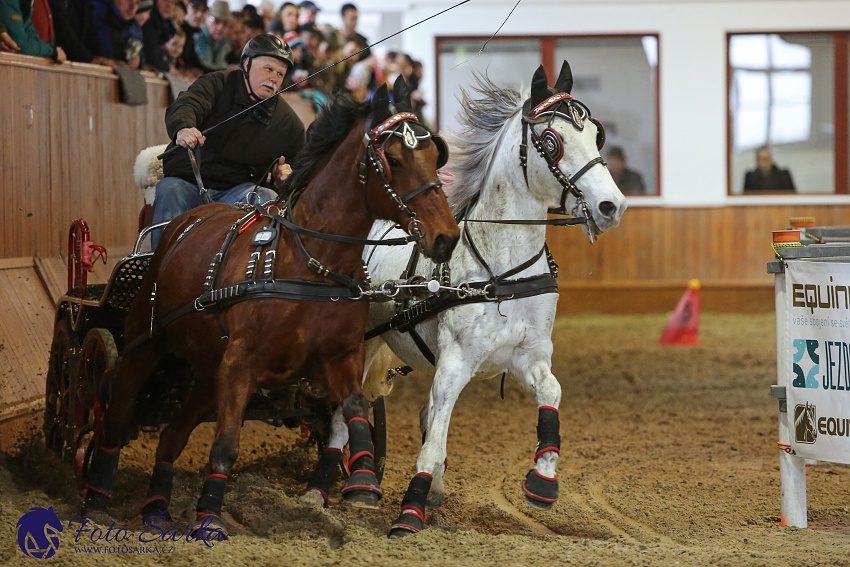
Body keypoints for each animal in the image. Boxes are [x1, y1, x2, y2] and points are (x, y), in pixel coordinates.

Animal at [83, 79, 460, 532]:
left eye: (435, 155)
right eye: (395, 160)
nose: (446, 237)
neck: (310, 262)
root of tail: (188, 219)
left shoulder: (340, 356)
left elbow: (353, 408)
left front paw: (364, 481)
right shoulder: (241, 362)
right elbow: (225, 446)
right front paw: (210, 517)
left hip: (208, 374)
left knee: (172, 436)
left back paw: (156, 507)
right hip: (145, 344)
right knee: (116, 412)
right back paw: (98, 495)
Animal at [348, 63, 628, 536]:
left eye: (596, 134)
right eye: (550, 142)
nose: (612, 206)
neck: (501, 273)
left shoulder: (527, 356)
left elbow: (550, 394)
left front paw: (542, 481)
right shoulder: (455, 362)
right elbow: (432, 440)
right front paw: (410, 512)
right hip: (364, 343)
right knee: (351, 402)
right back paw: (361, 480)